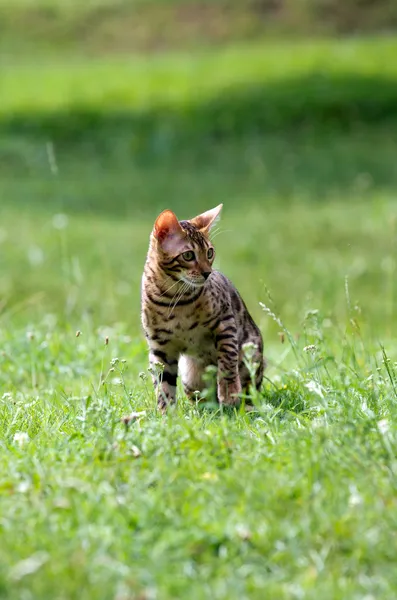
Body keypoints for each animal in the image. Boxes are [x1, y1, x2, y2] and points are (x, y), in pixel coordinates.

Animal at [141, 204, 264, 410]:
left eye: (210, 252)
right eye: (188, 255)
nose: (208, 273)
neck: (174, 299)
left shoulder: (225, 323)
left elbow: (227, 362)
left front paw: (229, 393)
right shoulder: (160, 348)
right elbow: (163, 386)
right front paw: (165, 414)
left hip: (251, 353)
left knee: (250, 389)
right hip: (190, 376)